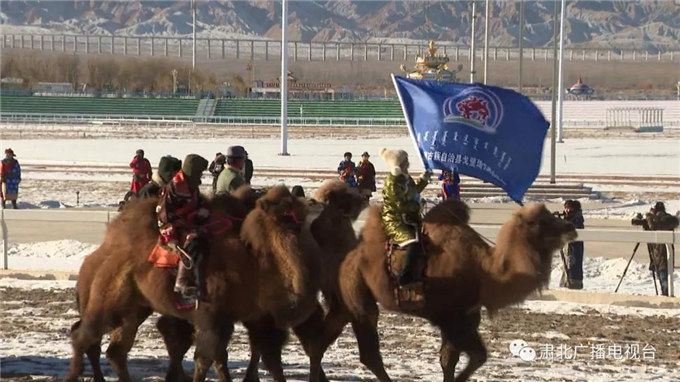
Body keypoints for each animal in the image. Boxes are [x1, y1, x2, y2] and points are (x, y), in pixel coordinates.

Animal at [65, 186, 316, 382]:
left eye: (299, 216)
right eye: (282, 215)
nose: (313, 205)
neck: (252, 257)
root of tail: (98, 256)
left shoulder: (248, 318)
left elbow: (267, 360)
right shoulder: (211, 315)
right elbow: (205, 358)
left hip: (134, 309)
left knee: (115, 350)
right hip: (109, 300)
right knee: (85, 337)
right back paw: (72, 375)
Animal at [332, 201, 576, 380]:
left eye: (552, 215)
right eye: (540, 221)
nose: (570, 228)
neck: (486, 271)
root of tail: (350, 256)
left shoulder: (468, 315)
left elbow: (461, 359)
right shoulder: (450, 318)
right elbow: (465, 357)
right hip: (358, 288)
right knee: (369, 348)